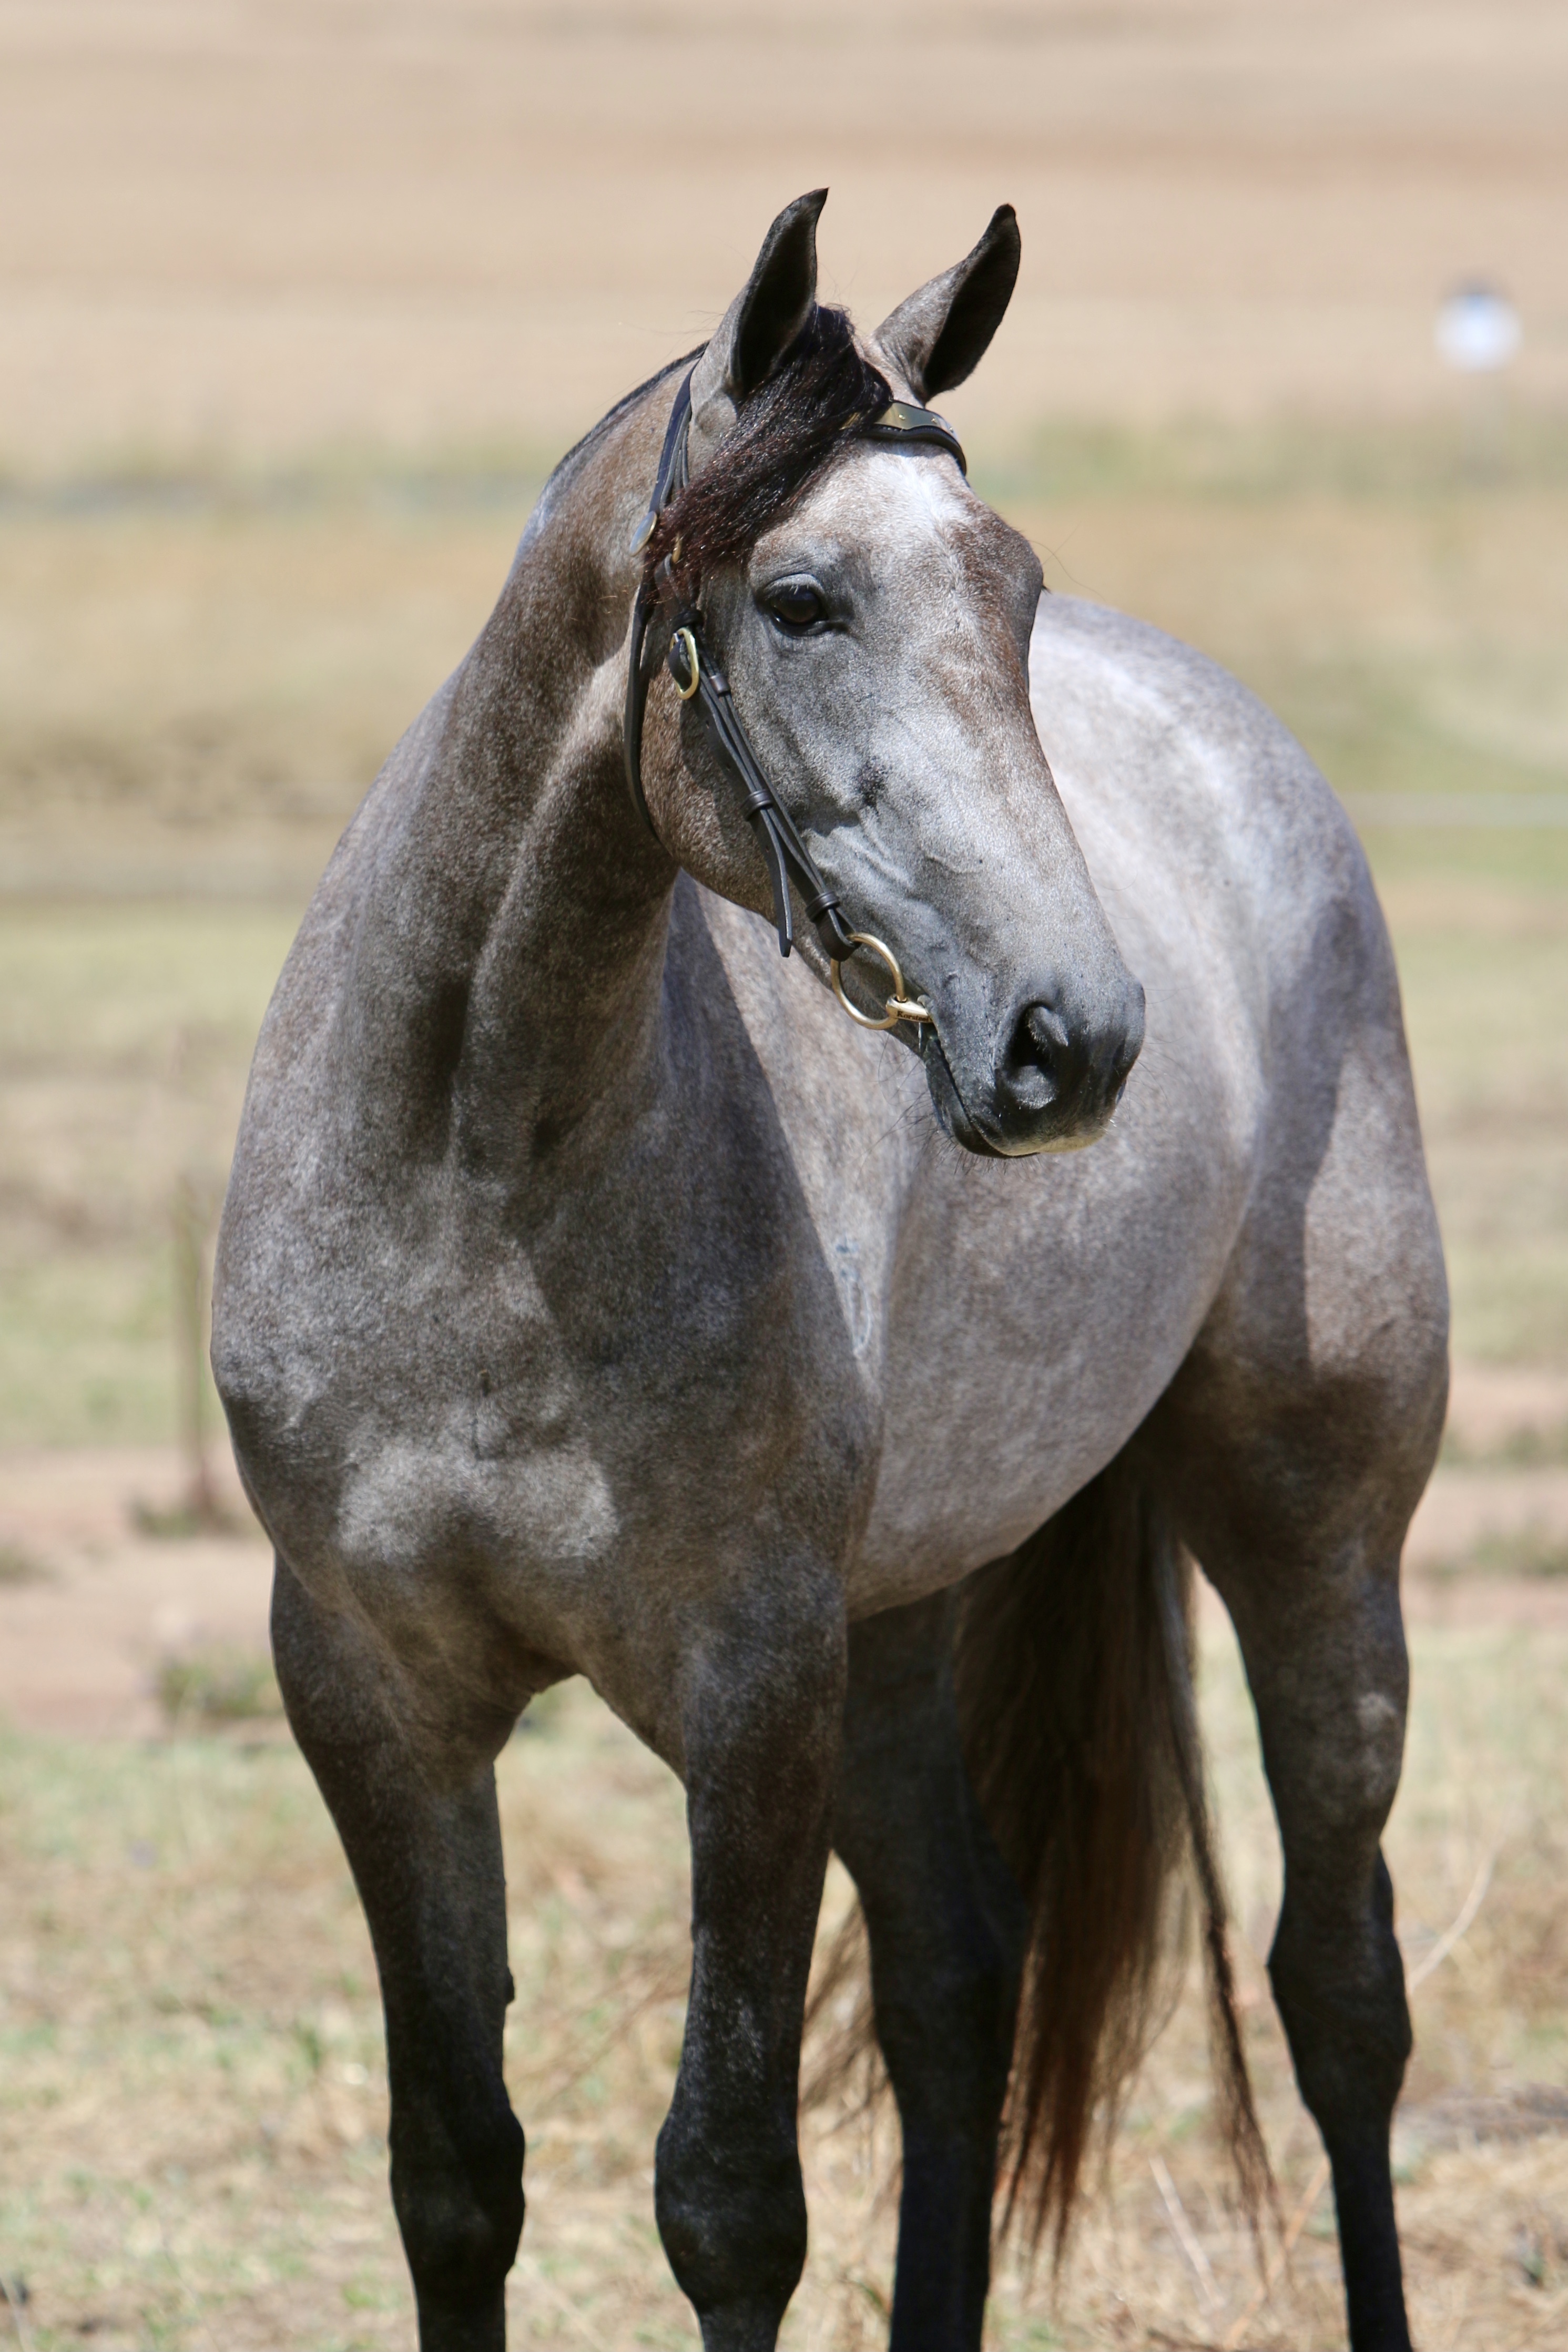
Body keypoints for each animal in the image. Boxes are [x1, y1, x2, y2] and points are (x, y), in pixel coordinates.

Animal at [212, 191, 1447, 2352]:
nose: (1075, 1037)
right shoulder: (374, 1693)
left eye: (1012, 588)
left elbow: (728, 2196)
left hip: (1309, 1530)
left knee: (1338, 1997)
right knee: (963, 1979)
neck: (477, 1177)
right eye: (797, 600)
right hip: (899, 1627)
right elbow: (453, 2174)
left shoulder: (748, 1693)